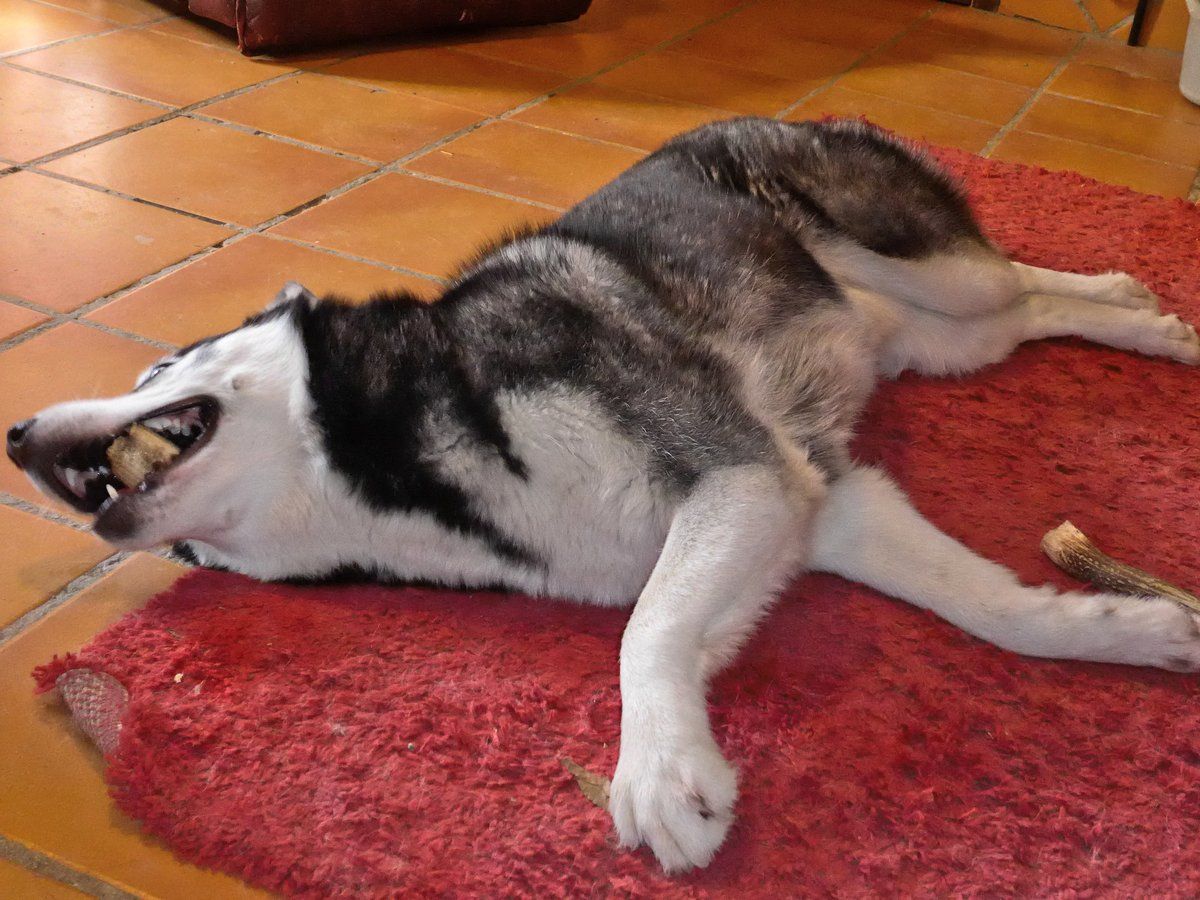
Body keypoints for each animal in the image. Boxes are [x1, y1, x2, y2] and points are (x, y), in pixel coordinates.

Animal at [9, 120, 1200, 873]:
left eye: (166, 364)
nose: (17, 436)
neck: (412, 454)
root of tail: (779, 111)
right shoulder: (820, 501)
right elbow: (998, 611)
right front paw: (1135, 629)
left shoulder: (741, 472)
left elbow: (645, 631)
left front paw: (659, 769)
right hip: (944, 342)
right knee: (1032, 317)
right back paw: (1146, 325)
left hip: (938, 278)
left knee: (1024, 278)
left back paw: (1142, 308)